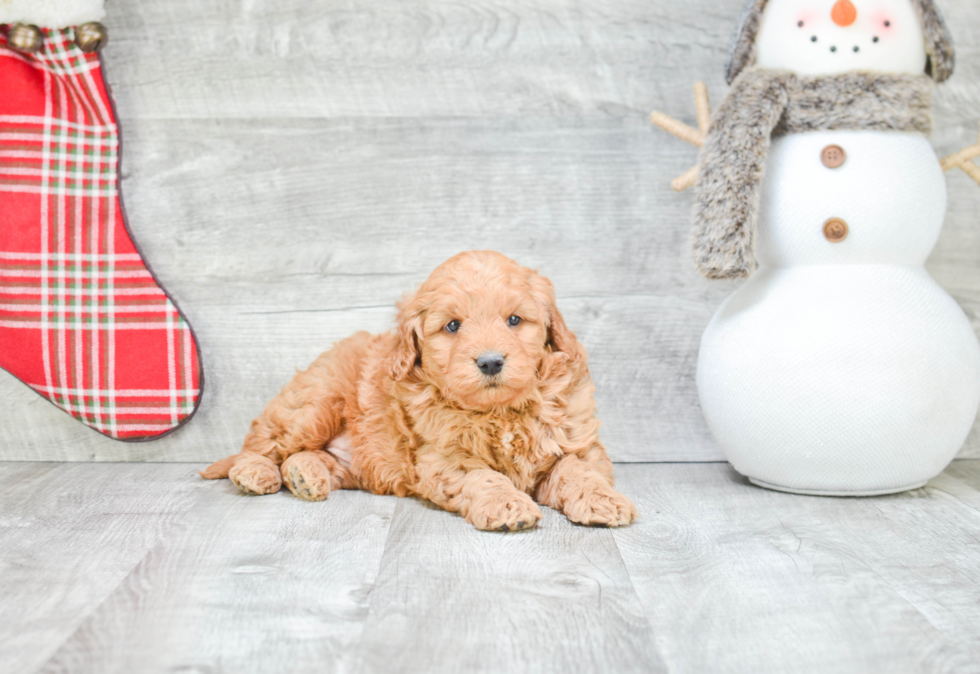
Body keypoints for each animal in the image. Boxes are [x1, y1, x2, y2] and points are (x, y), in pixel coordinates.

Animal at [203, 249, 640, 528]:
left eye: (515, 320)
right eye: (452, 326)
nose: (490, 361)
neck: (500, 413)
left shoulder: (575, 442)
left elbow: (578, 470)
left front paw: (604, 501)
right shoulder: (443, 460)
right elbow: (484, 477)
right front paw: (506, 505)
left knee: (312, 457)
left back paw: (304, 476)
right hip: (314, 405)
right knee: (263, 443)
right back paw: (255, 473)